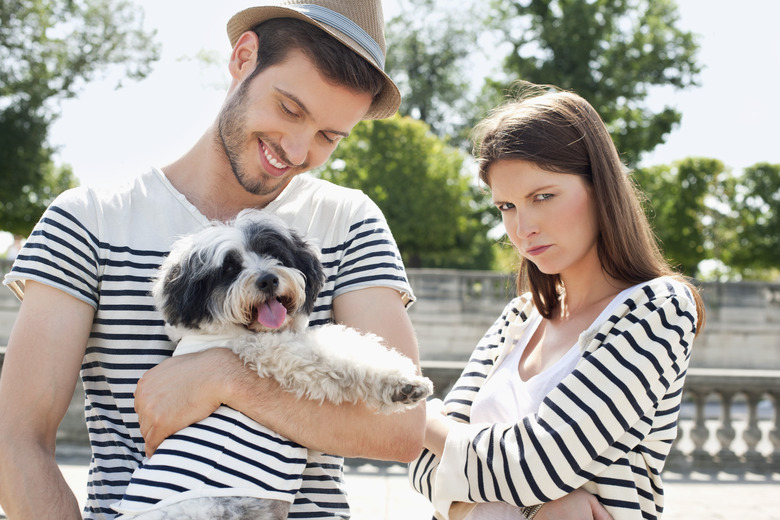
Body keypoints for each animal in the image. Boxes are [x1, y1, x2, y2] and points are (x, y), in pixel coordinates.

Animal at [113, 209, 432, 516]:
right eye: (229, 268)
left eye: (272, 252)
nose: (267, 279)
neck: (237, 331)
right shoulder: (282, 355)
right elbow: (338, 352)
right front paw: (402, 383)